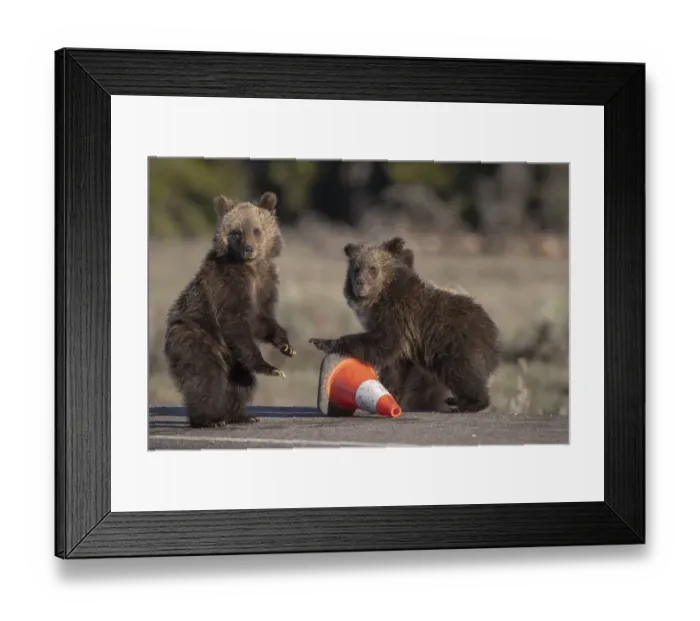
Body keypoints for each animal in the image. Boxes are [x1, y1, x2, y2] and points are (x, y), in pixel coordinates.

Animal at [163, 191, 295, 428]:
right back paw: (208, 419)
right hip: (195, 335)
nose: (248, 248)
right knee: (207, 375)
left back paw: (240, 415)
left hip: (233, 358)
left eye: (256, 230)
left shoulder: (266, 283)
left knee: (241, 381)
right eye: (236, 232)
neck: (250, 268)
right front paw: (271, 368)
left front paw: (286, 346)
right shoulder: (226, 284)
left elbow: (261, 319)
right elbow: (235, 320)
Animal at [309, 236, 500, 413]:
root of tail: (493, 331)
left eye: (373, 268)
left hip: (457, 344)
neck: (380, 299)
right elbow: (395, 368)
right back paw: (455, 400)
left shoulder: (398, 318)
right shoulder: (403, 341)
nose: (359, 283)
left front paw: (322, 342)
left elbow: (382, 343)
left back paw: (468, 403)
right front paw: (391, 394)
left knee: (462, 373)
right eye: (356, 267)